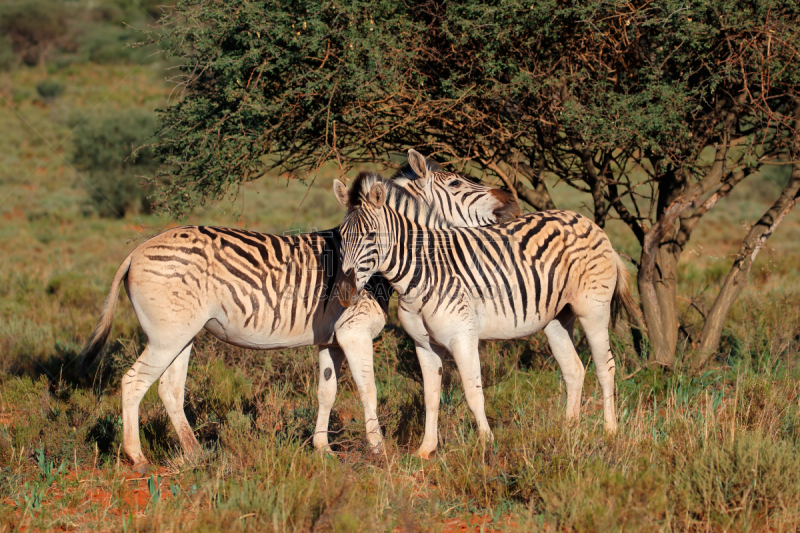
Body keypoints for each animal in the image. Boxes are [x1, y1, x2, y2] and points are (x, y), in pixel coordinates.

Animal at [79, 149, 520, 470]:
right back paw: (137, 457)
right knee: (133, 382)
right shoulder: (353, 333)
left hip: (181, 334)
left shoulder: (330, 339)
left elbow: (326, 391)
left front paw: (322, 450)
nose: (511, 202)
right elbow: (369, 390)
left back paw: (194, 453)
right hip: (168, 335)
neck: (375, 265)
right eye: (459, 182)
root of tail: (137, 250)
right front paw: (379, 451)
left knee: (170, 389)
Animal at [330, 174, 636, 458]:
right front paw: (426, 450)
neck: (423, 271)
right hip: (557, 318)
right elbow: (431, 397)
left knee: (605, 366)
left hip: (593, 310)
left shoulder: (462, 337)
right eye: (341, 236)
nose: (344, 292)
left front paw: (487, 445)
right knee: (573, 369)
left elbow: (473, 392)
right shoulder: (424, 344)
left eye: (371, 235)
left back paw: (610, 431)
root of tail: (588, 222)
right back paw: (568, 431)